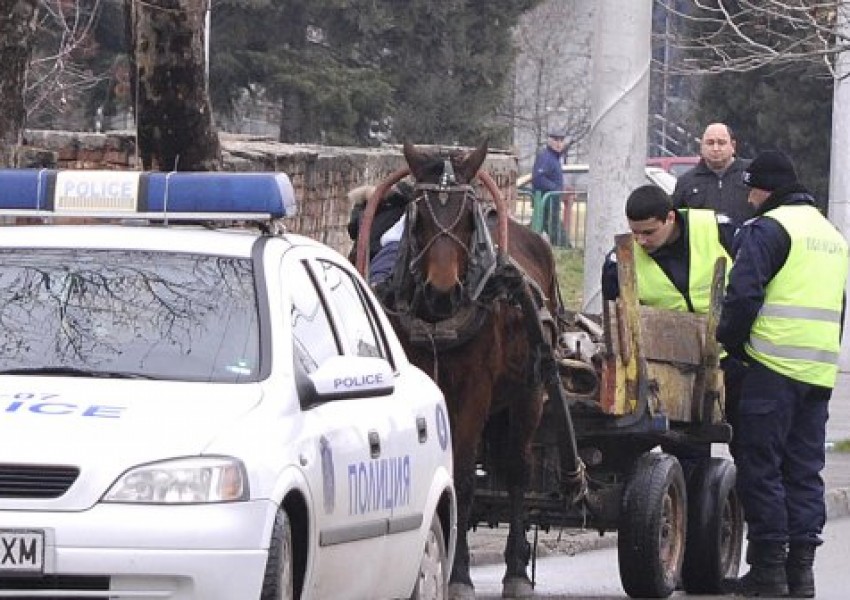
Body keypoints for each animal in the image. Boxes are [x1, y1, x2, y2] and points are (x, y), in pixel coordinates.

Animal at [358, 142, 564, 600]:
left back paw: (517, 570)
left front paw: (459, 575)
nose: (442, 289)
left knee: (517, 469)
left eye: (468, 218)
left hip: (528, 392)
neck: (439, 319)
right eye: (419, 215)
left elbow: (465, 479)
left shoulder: (474, 391)